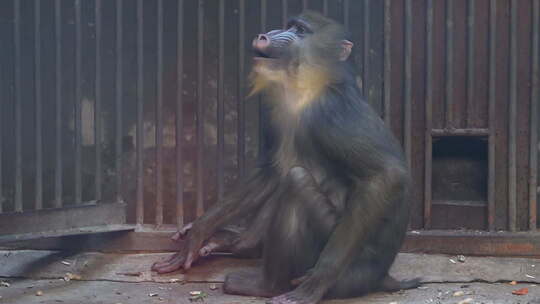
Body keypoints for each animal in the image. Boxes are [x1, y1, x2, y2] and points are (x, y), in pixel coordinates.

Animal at [150, 10, 420, 302]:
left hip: (347, 266)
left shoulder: (332, 112)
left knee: (296, 182)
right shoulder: (276, 110)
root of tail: (381, 276)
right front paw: (201, 230)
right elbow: (270, 169)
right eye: (288, 25)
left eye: (300, 31)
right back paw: (240, 243)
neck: (304, 88)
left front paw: (317, 281)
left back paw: (266, 285)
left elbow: (387, 175)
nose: (264, 34)